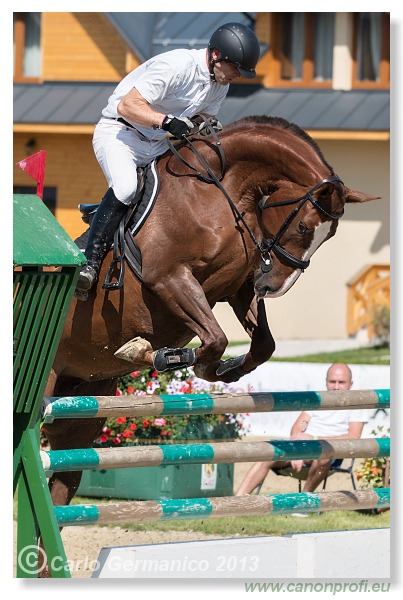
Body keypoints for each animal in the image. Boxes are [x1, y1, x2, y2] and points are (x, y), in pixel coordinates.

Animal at [42, 116, 378, 510]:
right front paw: (162, 355)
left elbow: (262, 344)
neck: (218, 191)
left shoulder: (238, 285)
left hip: (83, 402)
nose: (274, 286)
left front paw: (222, 369)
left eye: (331, 235)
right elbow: (215, 338)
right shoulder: (169, 277)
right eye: (303, 226)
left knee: (63, 472)